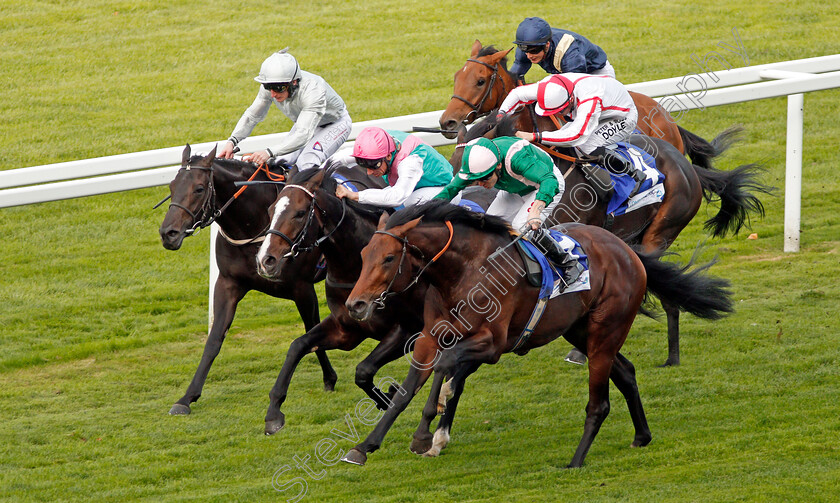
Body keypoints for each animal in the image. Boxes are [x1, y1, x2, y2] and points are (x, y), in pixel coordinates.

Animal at [338, 203, 732, 470]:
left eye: (389, 258)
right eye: (364, 254)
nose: (356, 304)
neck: (463, 270)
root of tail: (627, 251)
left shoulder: (492, 343)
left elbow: (445, 367)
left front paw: (425, 433)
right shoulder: (430, 337)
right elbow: (406, 391)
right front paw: (364, 446)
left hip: (606, 332)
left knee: (600, 402)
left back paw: (576, 461)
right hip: (579, 331)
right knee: (626, 372)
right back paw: (641, 436)